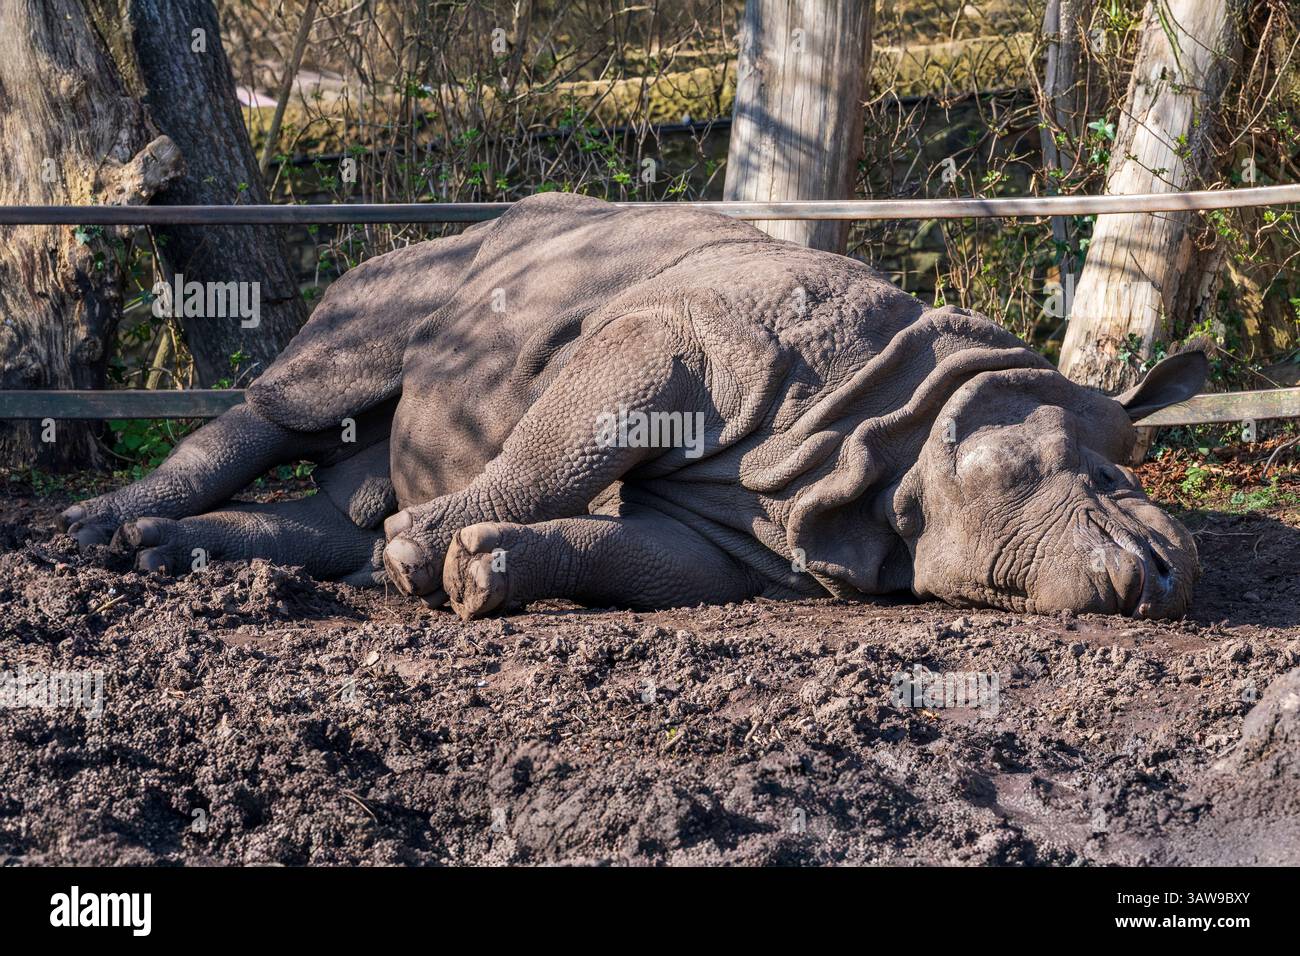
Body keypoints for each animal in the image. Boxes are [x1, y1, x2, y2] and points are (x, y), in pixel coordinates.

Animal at [56, 192, 1208, 620]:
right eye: (1106, 476)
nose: (1171, 572)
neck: (901, 440)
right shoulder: (679, 337)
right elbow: (566, 444)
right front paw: (421, 552)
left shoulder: (742, 547)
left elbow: (635, 556)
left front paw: (474, 569)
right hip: (436, 260)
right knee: (319, 385)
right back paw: (87, 534)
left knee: (344, 495)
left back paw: (168, 557)